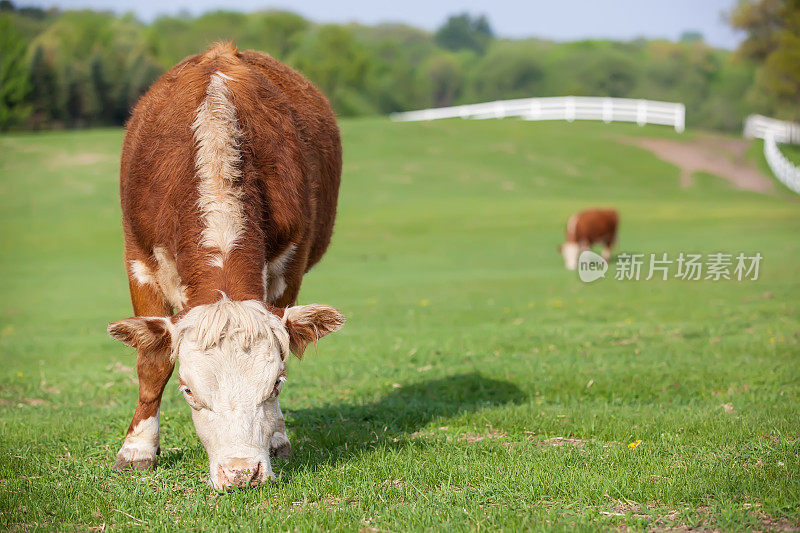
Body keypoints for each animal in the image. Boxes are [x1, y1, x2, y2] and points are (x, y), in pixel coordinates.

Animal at [106, 42, 344, 490]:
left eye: (275, 385)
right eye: (188, 391)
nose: (241, 473)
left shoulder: (289, 265)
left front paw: (277, 438)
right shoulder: (140, 261)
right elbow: (152, 364)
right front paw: (137, 449)